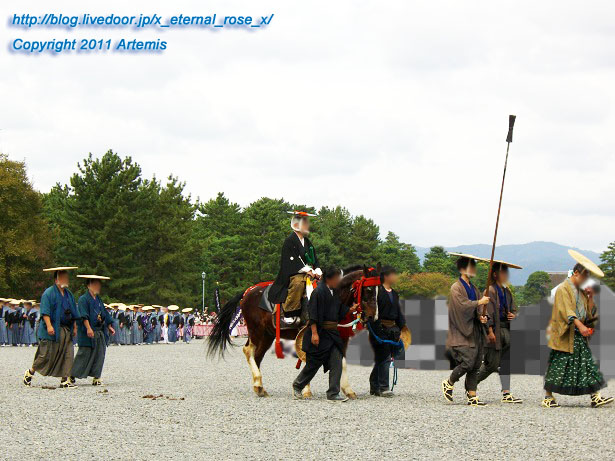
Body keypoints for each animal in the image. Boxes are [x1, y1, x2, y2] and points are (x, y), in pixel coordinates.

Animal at [207, 264, 380, 398]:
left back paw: (259, 387)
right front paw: (306, 390)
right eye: (368, 289)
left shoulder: (340, 337)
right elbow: (310, 360)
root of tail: (247, 292)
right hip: (256, 330)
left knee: (257, 356)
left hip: (267, 335)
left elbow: (341, 362)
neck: (333, 296)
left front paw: (348, 390)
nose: (372, 316)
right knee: (249, 351)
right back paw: (258, 383)